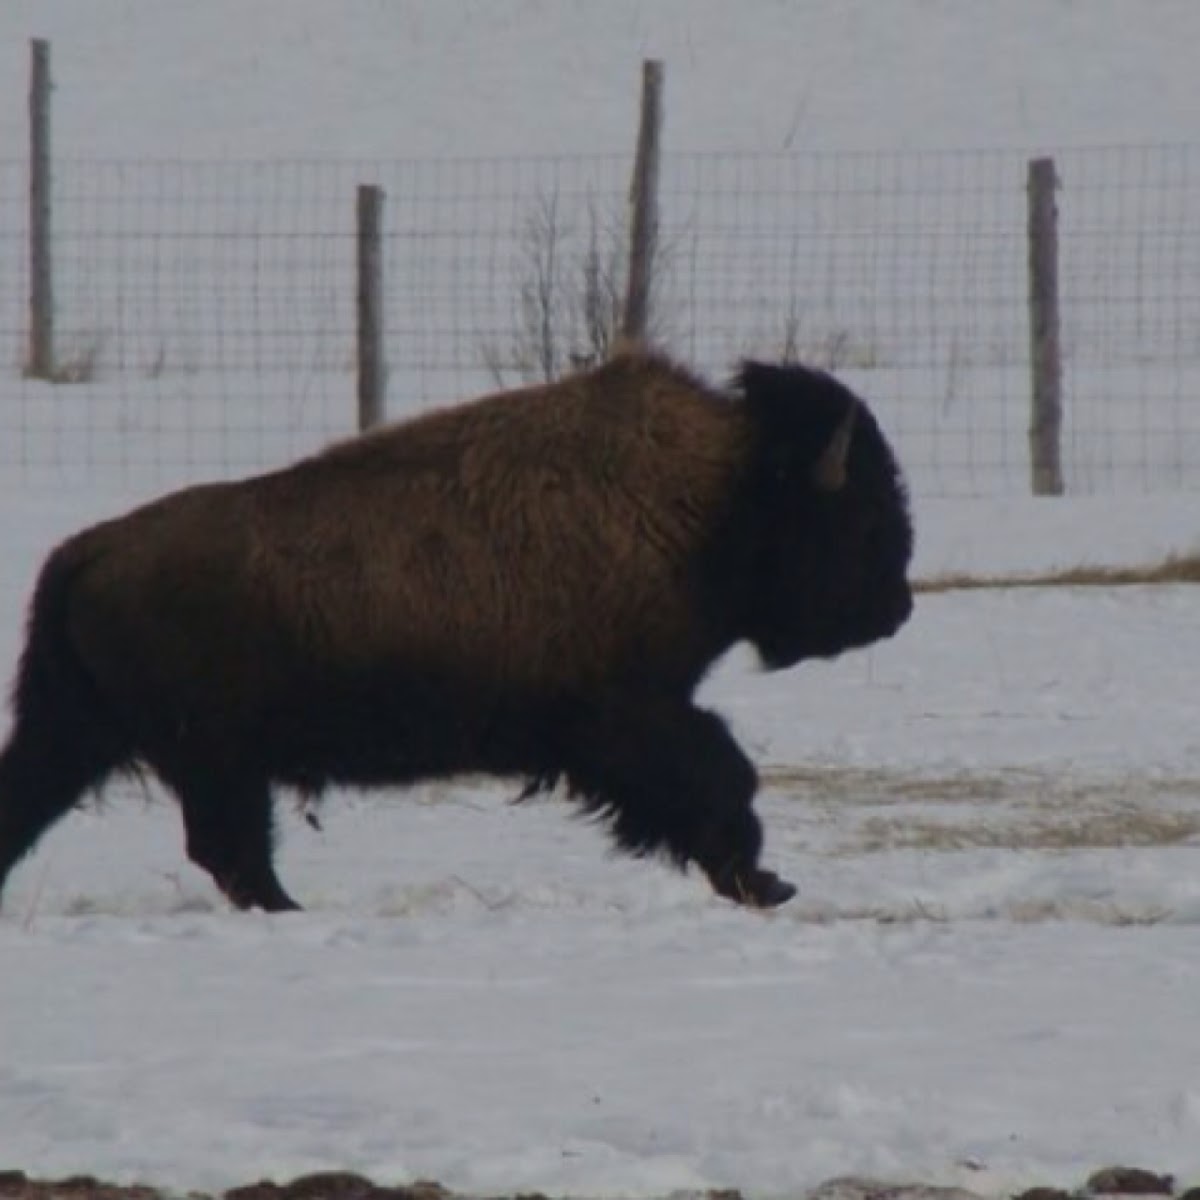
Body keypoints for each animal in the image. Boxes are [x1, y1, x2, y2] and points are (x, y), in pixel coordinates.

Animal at [0, 350, 912, 913]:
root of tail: (85, 552)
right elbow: (718, 774)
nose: (897, 606)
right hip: (210, 755)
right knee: (230, 849)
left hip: (88, 734)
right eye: (862, 515)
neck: (716, 498)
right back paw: (294, 911)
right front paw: (764, 879)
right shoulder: (630, 713)